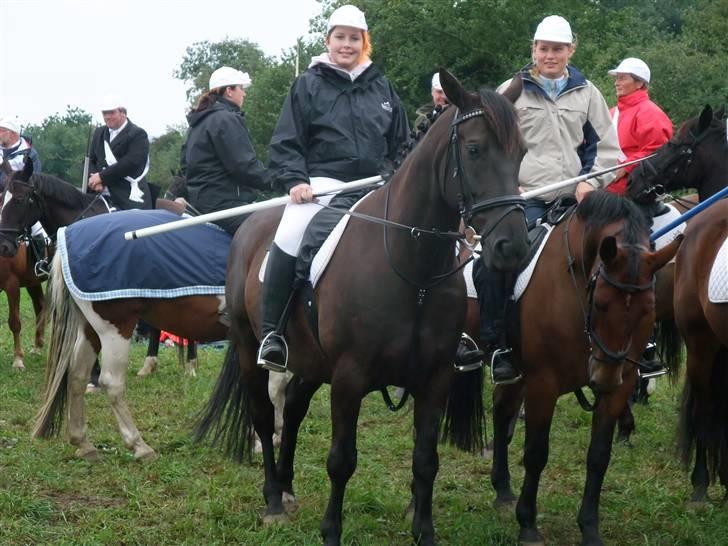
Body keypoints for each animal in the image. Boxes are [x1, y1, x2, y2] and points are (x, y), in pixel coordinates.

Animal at [195, 70, 528, 540]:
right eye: (475, 149)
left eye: (522, 152)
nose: (512, 247)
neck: (412, 268)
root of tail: (248, 226)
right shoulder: (350, 377)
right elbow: (341, 461)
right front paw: (331, 531)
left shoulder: (435, 378)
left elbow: (426, 461)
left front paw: (424, 531)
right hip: (248, 348)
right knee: (263, 416)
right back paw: (274, 498)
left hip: (312, 361)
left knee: (292, 408)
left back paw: (287, 486)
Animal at [484, 191, 684, 544]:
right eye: (600, 302)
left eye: (648, 308)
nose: (602, 378)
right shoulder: (542, 383)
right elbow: (536, 453)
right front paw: (528, 524)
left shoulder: (621, 383)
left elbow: (599, 456)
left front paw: (589, 527)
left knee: (501, 409)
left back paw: (503, 488)